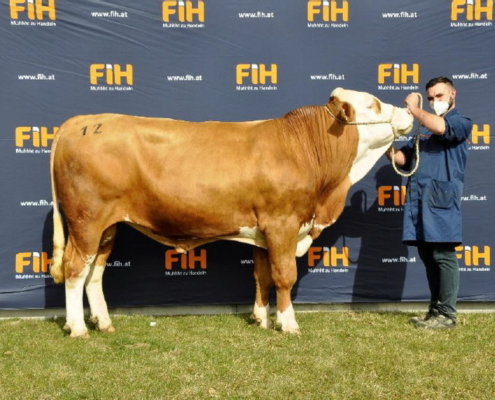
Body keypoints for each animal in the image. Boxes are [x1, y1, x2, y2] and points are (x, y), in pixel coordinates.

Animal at [50, 88, 414, 338]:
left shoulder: (263, 230)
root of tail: (80, 122)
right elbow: (284, 275)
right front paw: (288, 323)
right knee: (74, 268)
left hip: (108, 227)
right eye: (374, 104)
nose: (409, 111)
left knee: (95, 272)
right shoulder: (282, 223)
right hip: (86, 220)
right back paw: (77, 327)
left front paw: (260, 318)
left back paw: (103, 322)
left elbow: (262, 275)